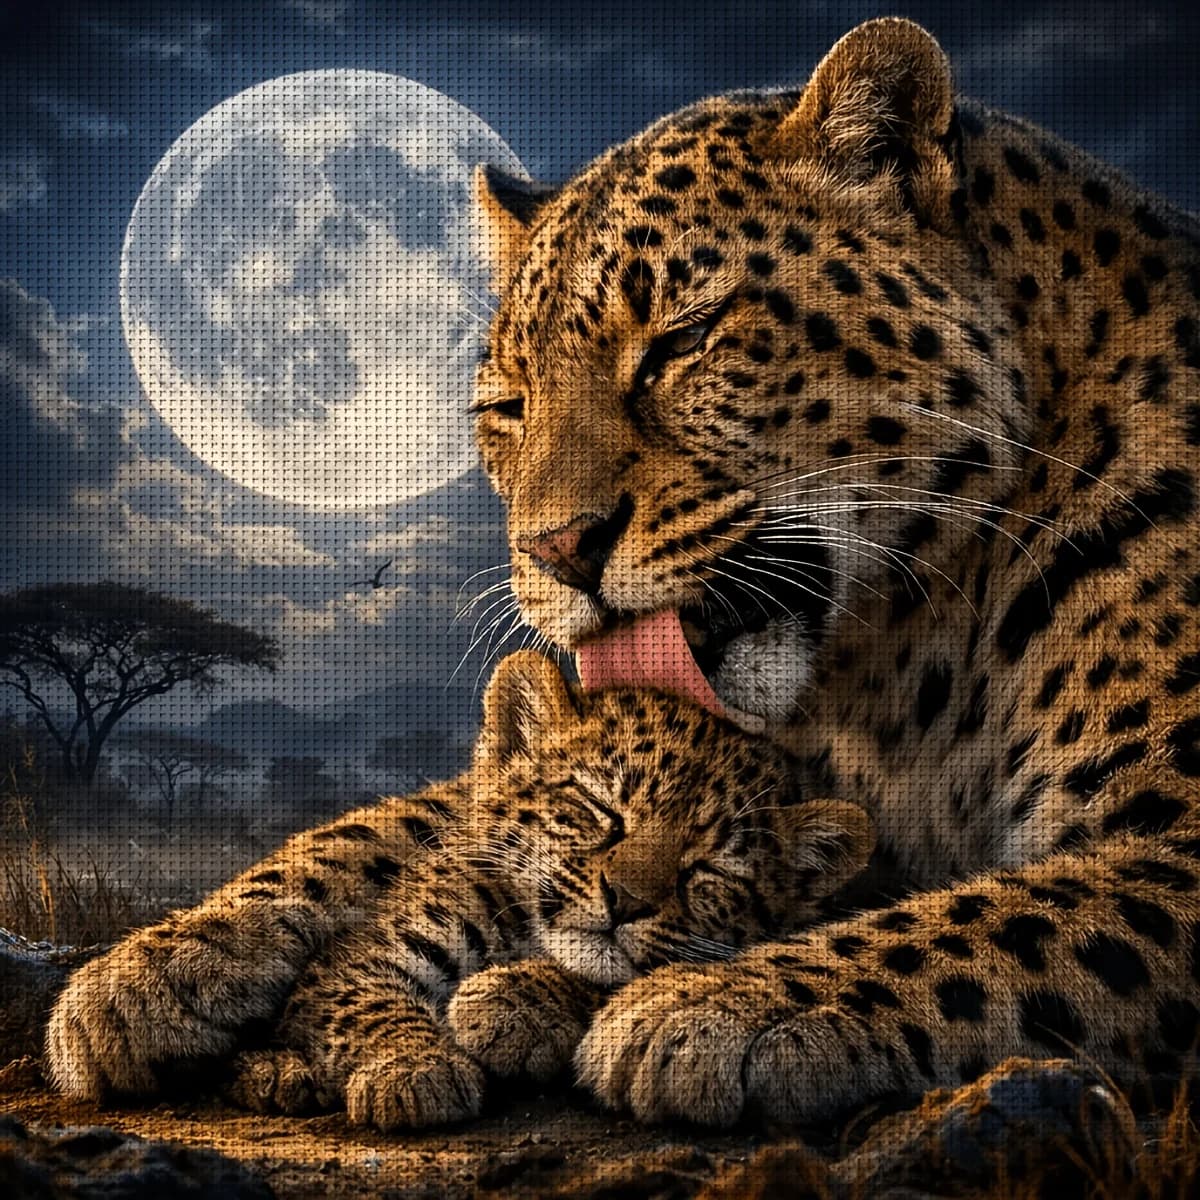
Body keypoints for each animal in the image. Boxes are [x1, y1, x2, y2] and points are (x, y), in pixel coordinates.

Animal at [46, 651, 871, 1122]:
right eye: (598, 810)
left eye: (709, 870)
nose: (626, 903)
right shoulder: (372, 950)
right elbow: (366, 997)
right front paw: (415, 1072)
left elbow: (615, 979)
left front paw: (512, 1002)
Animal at [465, 16, 1200, 1127]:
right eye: (506, 408)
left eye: (683, 341)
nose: (556, 547)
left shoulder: (1178, 842)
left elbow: (1000, 919)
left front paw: (716, 1004)